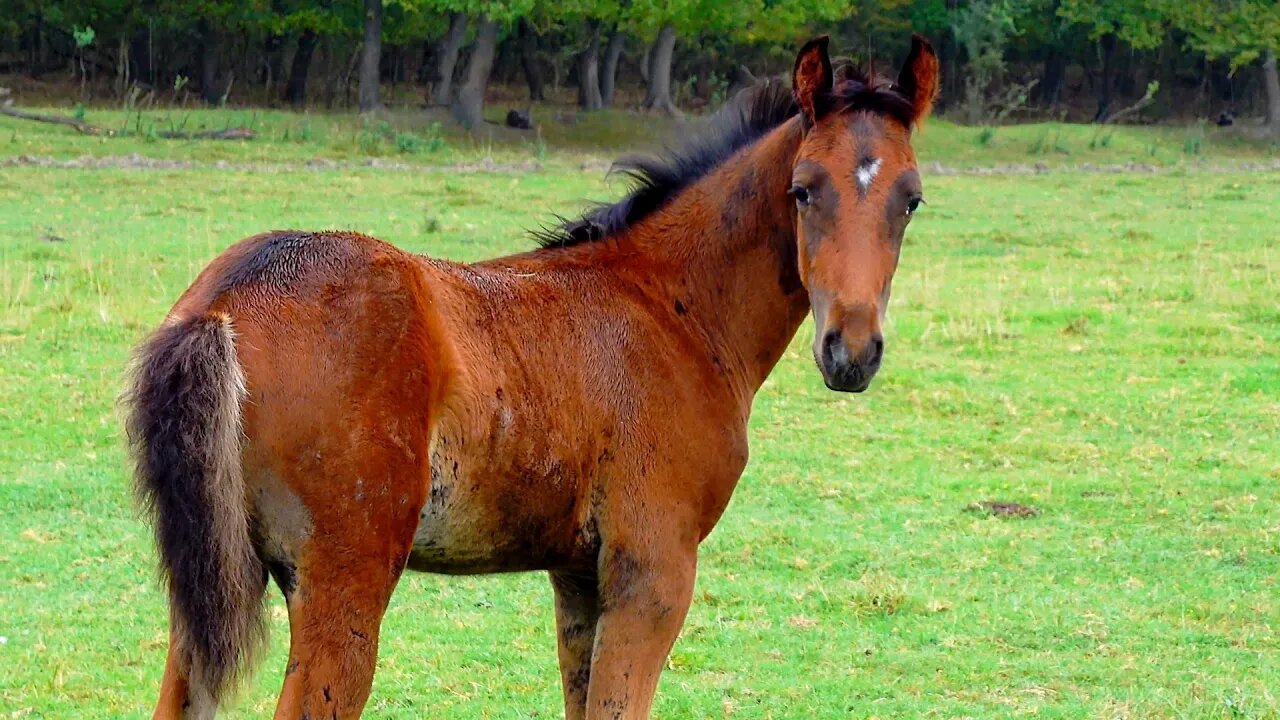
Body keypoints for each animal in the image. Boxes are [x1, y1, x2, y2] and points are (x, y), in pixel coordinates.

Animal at [122, 33, 942, 717]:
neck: (671, 306)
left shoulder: (578, 578)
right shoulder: (654, 572)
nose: (852, 350)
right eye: (804, 188)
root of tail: (225, 302)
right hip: (342, 584)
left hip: (209, 588)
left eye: (912, 199)